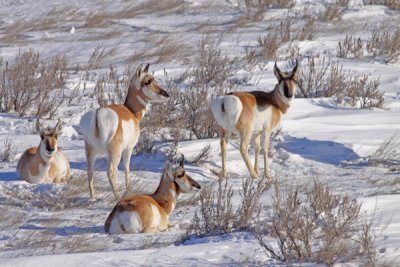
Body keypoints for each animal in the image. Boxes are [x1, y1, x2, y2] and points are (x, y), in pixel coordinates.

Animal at [79, 63, 170, 200]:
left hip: (90, 151)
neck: (131, 111)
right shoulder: (129, 148)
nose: (166, 94)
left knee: (90, 171)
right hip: (114, 153)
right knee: (111, 171)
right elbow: (127, 168)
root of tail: (98, 114)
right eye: (147, 81)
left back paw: (93, 197)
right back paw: (118, 197)